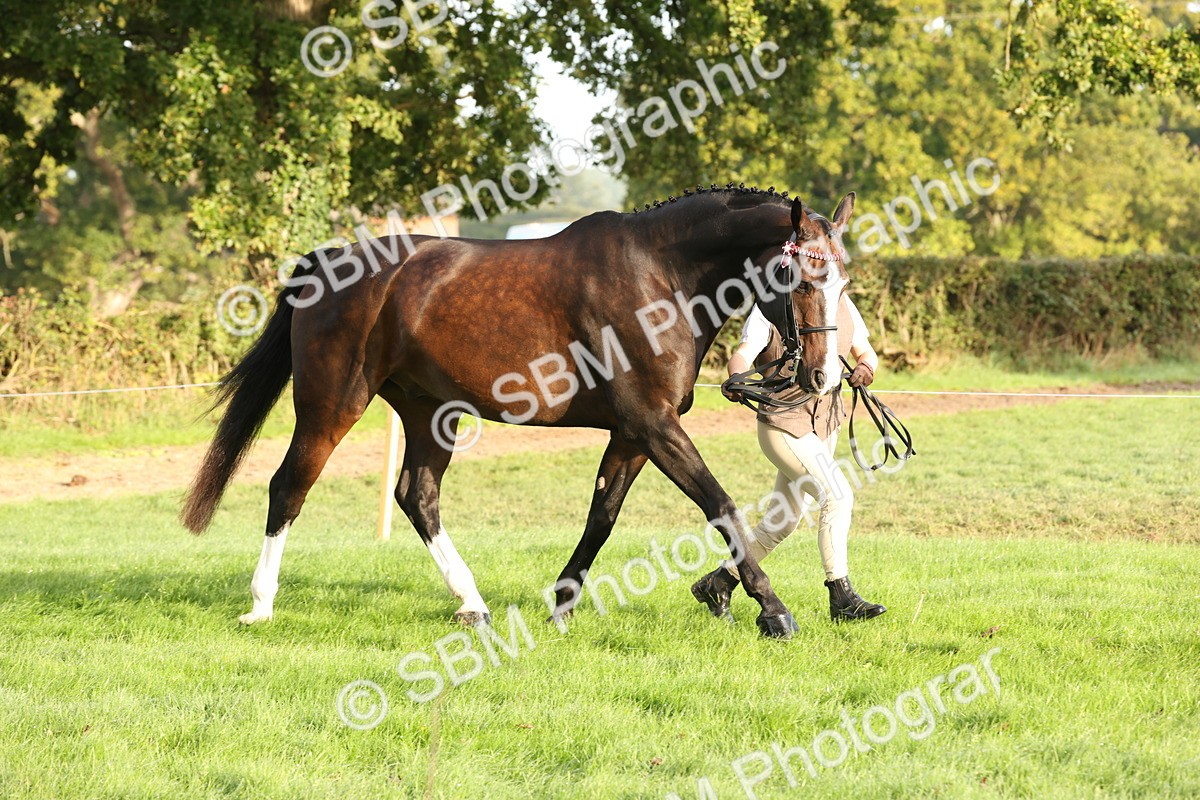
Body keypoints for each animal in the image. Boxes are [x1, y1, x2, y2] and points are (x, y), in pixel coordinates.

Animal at [181, 184, 857, 638]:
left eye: (842, 281)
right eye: (800, 278)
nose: (822, 376)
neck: (661, 275)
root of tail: (327, 263)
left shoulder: (635, 433)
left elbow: (602, 515)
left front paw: (562, 603)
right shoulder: (654, 425)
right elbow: (720, 505)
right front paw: (773, 610)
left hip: (430, 412)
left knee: (416, 495)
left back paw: (473, 605)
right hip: (331, 406)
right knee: (288, 487)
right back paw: (261, 604)